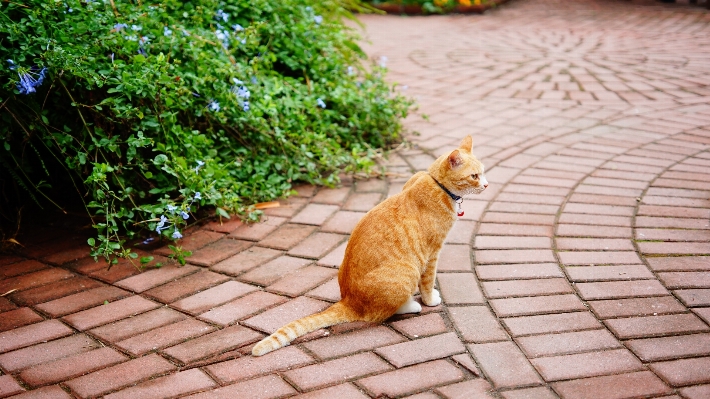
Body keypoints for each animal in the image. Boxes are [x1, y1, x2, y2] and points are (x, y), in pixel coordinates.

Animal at [252, 137, 490, 356]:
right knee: (381, 313)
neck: (437, 184)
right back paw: (411, 305)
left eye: (484, 173)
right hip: (407, 271)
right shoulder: (432, 253)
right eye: (474, 176)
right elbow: (428, 282)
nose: (487, 185)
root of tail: (349, 301)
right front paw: (430, 300)